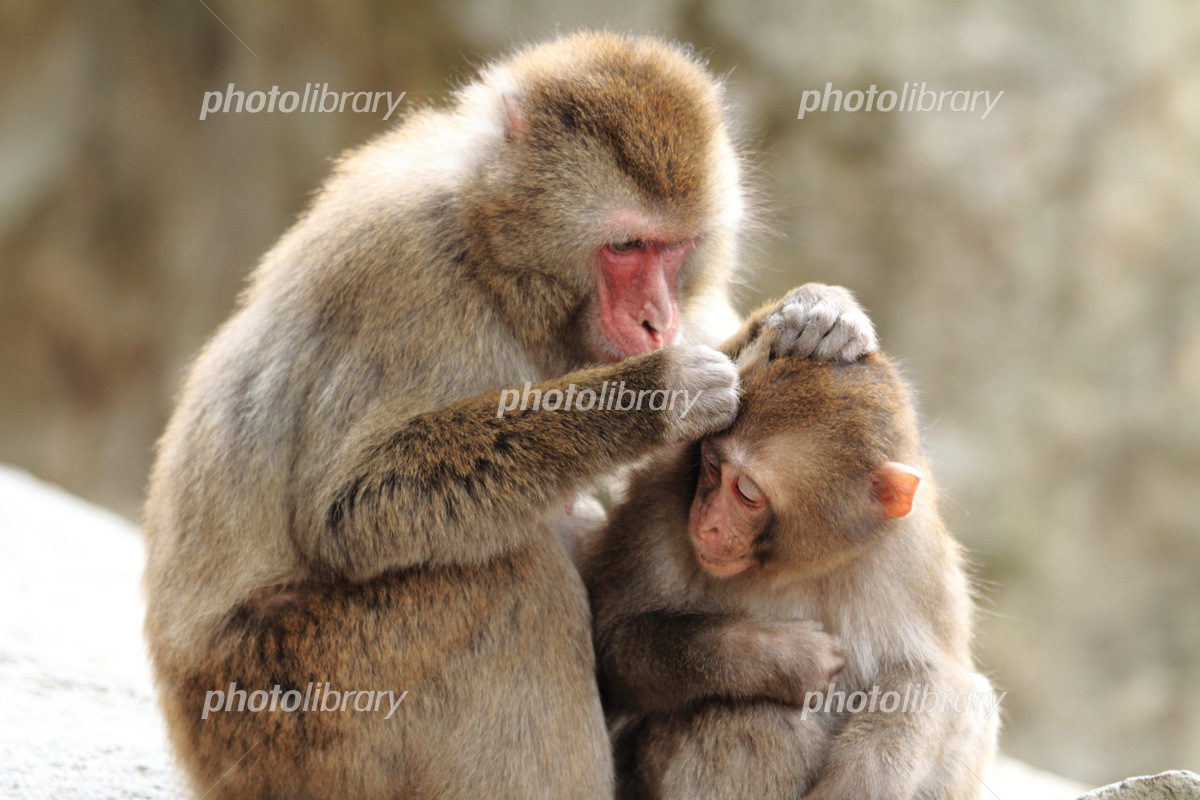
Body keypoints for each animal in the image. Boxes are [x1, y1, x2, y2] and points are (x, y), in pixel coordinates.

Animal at [142, 30, 879, 800]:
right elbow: (352, 507)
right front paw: (654, 394)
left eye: (675, 249)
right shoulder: (403, 272)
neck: (489, 258)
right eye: (625, 247)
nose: (657, 320)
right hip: (289, 716)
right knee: (515, 583)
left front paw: (817, 314)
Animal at [584, 342, 998, 800]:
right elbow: (618, 643)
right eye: (711, 465)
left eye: (747, 493)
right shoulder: (661, 494)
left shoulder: (914, 551)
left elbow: (932, 677)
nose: (707, 524)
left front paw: (856, 786)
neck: (798, 564)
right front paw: (783, 655)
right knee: (753, 718)